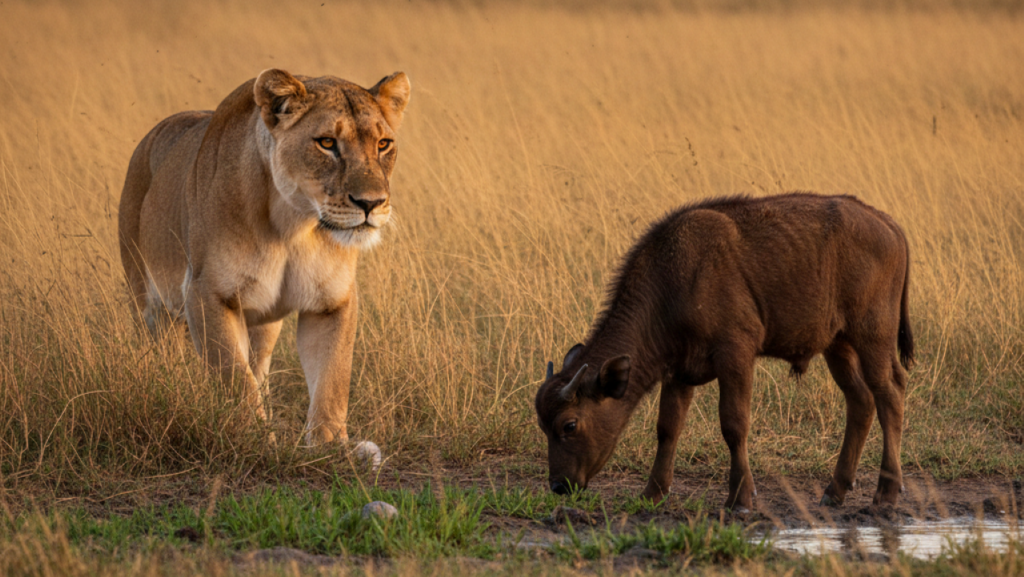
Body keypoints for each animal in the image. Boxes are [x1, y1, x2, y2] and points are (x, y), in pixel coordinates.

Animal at [535, 193, 913, 510]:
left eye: (569, 425)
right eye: (542, 425)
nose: (558, 486)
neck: (676, 282)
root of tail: (888, 224)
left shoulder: (736, 358)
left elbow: (733, 425)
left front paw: (741, 498)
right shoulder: (678, 373)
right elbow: (667, 428)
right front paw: (652, 493)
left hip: (873, 338)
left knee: (889, 394)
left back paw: (886, 494)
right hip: (839, 346)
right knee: (861, 400)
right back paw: (835, 491)